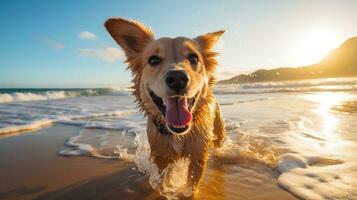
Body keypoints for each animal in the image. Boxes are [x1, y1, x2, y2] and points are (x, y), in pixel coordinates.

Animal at [103, 17, 225, 192]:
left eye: (194, 58)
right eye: (153, 60)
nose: (178, 78)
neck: (178, 133)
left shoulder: (198, 155)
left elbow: (191, 186)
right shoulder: (160, 156)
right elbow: (162, 180)